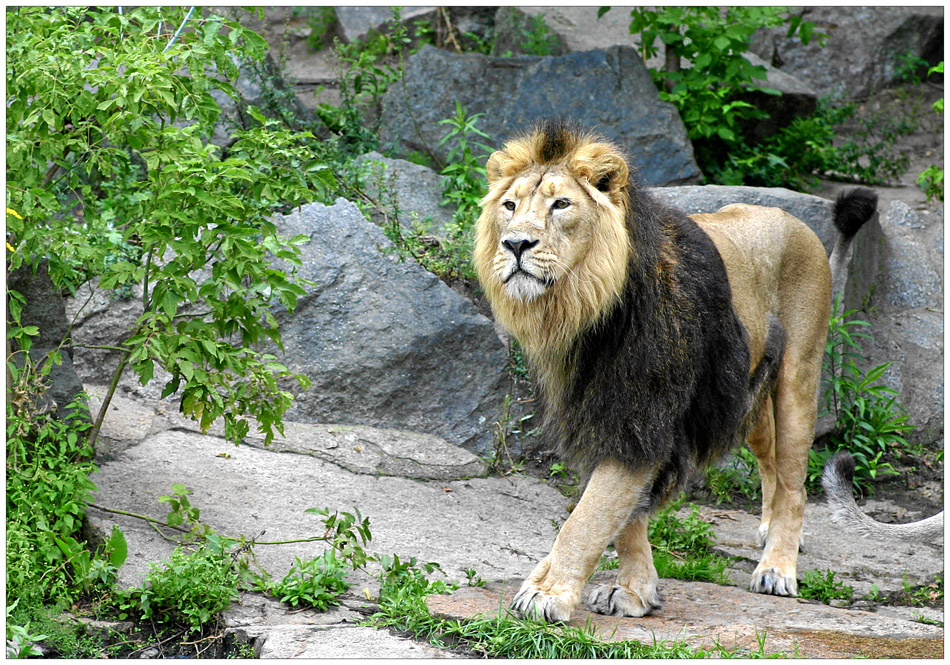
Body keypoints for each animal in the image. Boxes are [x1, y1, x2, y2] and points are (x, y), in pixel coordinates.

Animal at [474, 120, 876, 624]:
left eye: (561, 204)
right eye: (509, 206)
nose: (516, 243)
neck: (585, 309)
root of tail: (795, 222)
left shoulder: (641, 414)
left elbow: (587, 517)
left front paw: (548, 595)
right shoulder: (600, 415)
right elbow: (622, 517)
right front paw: (634, 592)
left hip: (798, 378)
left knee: (794, 480)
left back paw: (777, 568)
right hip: (748, 399)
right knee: (770, 463)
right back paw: (768, 528)